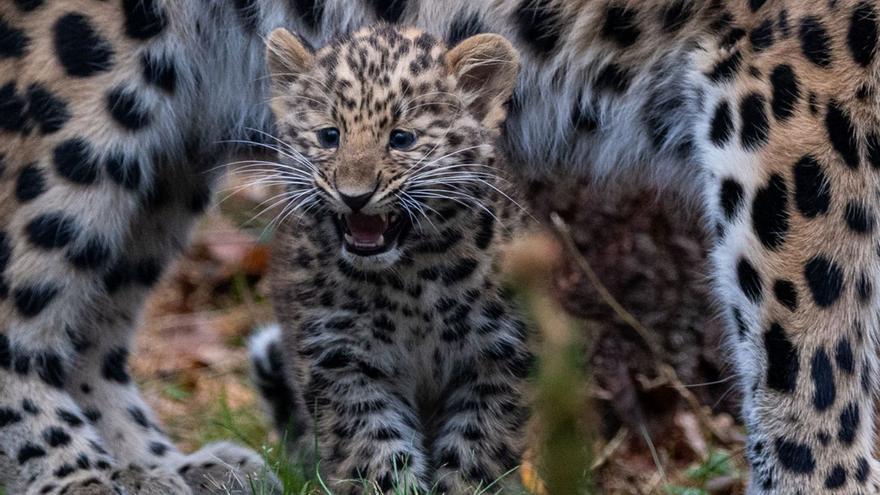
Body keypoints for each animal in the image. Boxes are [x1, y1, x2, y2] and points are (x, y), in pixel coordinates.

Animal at [0, 0, 876, 495]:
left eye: (404, 137)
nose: (355, 190)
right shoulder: (806, 78)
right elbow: (820, 357)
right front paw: (832, 480)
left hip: (169, 133)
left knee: (91, 319)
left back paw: (162, 470)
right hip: (72, 65)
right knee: (24, 286)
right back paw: (87, 476)